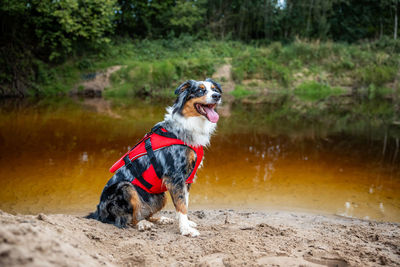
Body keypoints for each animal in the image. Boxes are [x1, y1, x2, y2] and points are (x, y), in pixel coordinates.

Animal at [87, 78, 222, 238]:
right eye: (200, 90)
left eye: (214, 89)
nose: (217, 96)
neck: (188, 123)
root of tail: (98, 212)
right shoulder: (175, 175)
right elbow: (182, 204)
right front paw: (186, 230)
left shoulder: (187, 178)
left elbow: (184, 202)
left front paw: (186, 224)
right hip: (126, 187)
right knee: (126, 219)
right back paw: (142, 224)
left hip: (159, 196)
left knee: (143, 213)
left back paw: (160, 219)